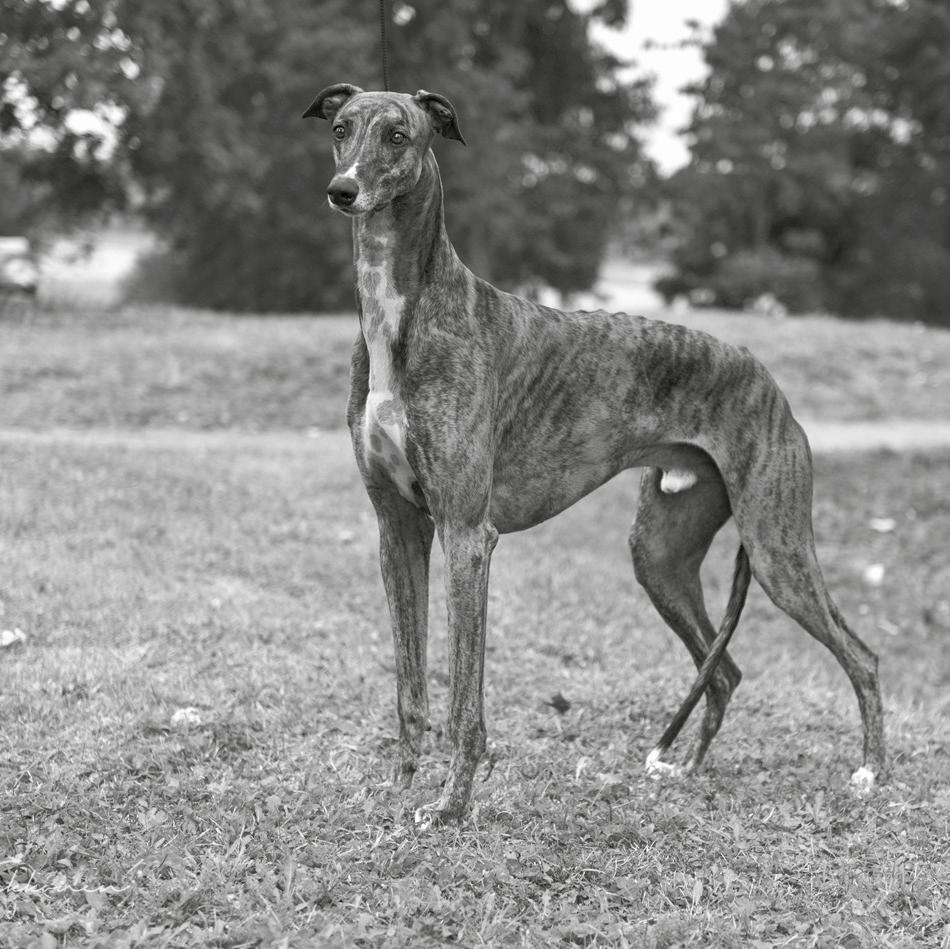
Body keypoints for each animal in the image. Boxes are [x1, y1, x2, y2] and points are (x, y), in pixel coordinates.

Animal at [304, 83, 884, 824]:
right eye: (342, 128)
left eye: (398, 135)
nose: (342, 191)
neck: (401, 317)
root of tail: (765, 377)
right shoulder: (397, 527)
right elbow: (411, 684)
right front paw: (399, 787)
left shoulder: (467, 533)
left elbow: (466, 699)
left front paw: (451, 807)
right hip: (660, 553)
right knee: (725, 670)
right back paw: (686, 770)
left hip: (778, 547)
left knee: (861, 657)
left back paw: (870, 772)